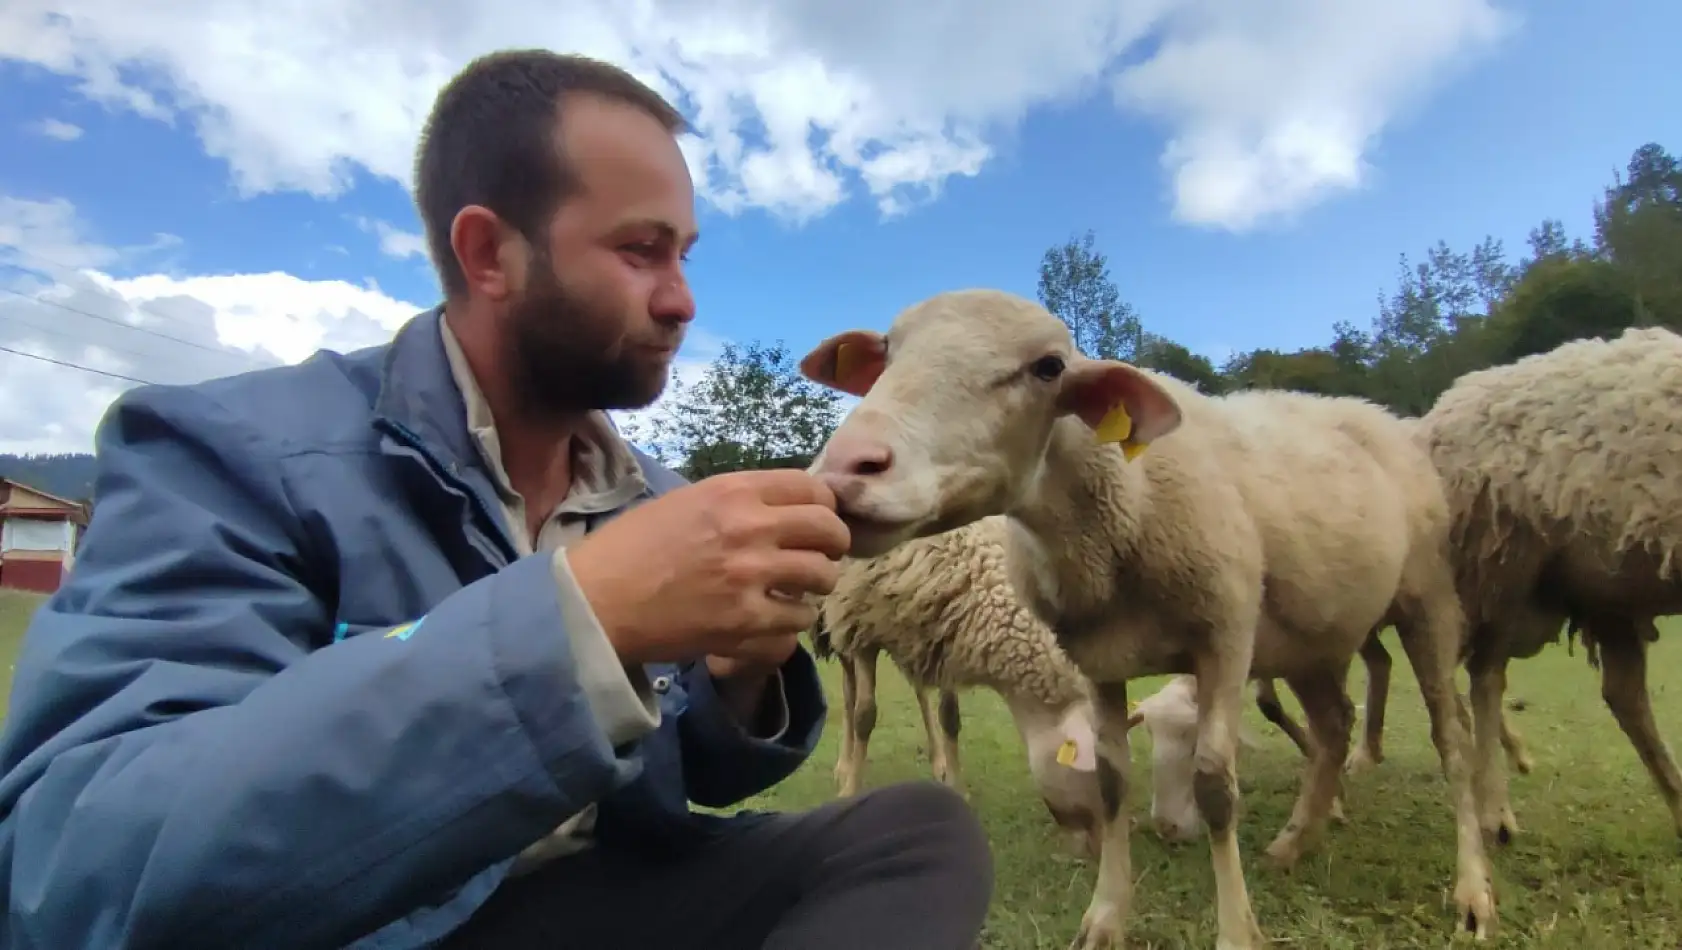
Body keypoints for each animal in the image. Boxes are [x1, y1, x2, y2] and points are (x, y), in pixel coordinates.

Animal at [807, 514, 1110, 854]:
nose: (1099, 847)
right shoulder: (862, 625)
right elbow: (864, 716)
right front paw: (851, 790)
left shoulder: (942, 632)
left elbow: (949, 718)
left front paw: (954, 783)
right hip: (836, 622)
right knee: (849, 694)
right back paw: (844, 765)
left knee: (919, 693)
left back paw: (937, 758)